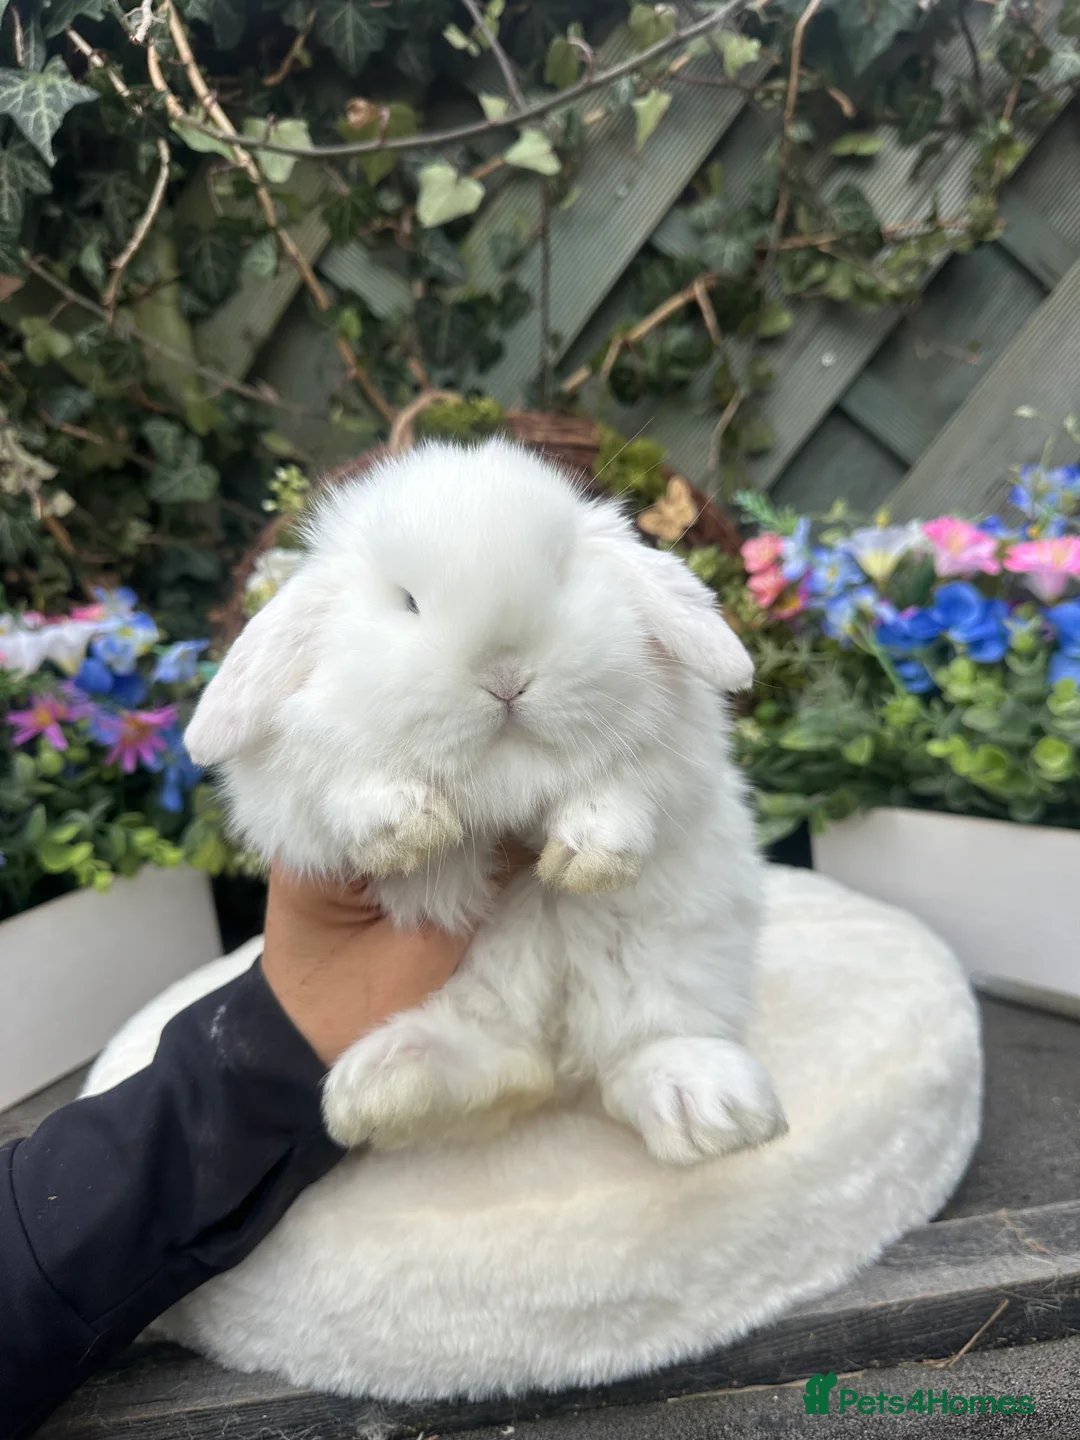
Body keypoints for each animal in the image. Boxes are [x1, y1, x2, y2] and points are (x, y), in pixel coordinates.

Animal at [185, 439, 786, 1166]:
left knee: (637, 1048)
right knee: (503, 1069)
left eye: (561, 573)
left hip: (677, 960)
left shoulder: (679, 752)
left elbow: (626, 787)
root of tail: (557, 1053)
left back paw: (703, 1105)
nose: (505, 675)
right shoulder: (289, 786)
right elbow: (342, 785)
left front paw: (587, 857)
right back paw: (387, 1086)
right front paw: (408, 829)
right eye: (408, 602)